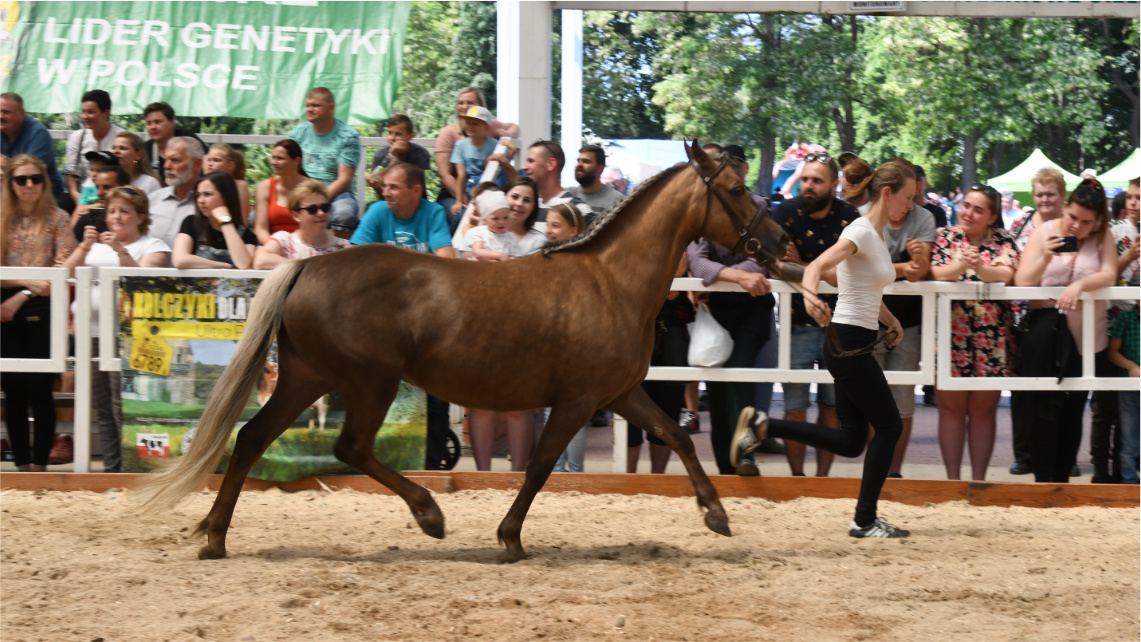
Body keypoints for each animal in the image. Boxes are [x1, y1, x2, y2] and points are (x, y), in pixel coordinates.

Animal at [135, 141, 794, 563]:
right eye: (737, 188)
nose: (782, 240)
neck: (611, 281)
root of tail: (306, 265)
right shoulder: (578, 400)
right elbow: (541, 463)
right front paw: (509, 538)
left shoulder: (621, 393)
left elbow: (677, 434)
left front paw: (717, 515)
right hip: (368, 382)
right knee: (349, 447)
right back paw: (430, 515)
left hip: (307, 378)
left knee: (251, 439)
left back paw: (214, 536)